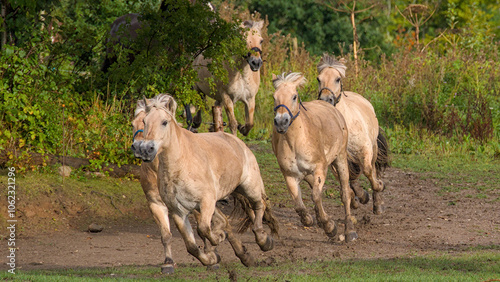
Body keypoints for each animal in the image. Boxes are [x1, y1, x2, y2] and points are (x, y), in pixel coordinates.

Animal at [272, 72, 358, 242]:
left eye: (294, 96)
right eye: (274, 97)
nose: (281, 122)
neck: (296, 142)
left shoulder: (320, 168)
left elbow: (316, 195)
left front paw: (329, 226)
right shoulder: (290, 175)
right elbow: (298, 203)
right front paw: (311, 220)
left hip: (340, 159)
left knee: (345, 193)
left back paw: (350, 231)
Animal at [316, 54, 390, 215]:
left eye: (337, 78)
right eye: (319, 79)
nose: (325, 100)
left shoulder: (365, 150)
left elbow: (368, 172)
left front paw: (379, 186)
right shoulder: (335, 160)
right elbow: (347, 179)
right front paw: (358, 198)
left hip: (373, 149)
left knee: (373, 170)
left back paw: (377, 204)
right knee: (353, 177)